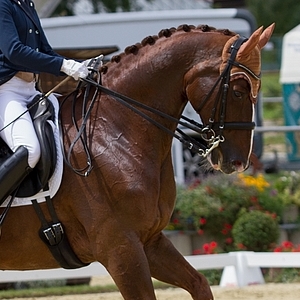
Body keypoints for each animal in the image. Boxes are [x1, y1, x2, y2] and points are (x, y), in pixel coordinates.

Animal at [0, 24, 274, 300]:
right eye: (238, 91)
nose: (239, 162)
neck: (114, 129)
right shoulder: (121, 249)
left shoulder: (150, 241)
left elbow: (200, 284)